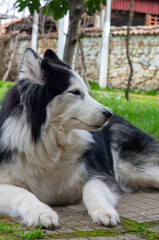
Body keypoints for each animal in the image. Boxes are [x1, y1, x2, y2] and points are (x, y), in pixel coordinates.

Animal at [0, 47, 159, 229]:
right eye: (75, 92)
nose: (108, 114)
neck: (52, 143)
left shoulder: (102, 176)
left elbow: (90, 189)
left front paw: (104, 210)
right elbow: (23, 193)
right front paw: (41, 212)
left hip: (131, 167)